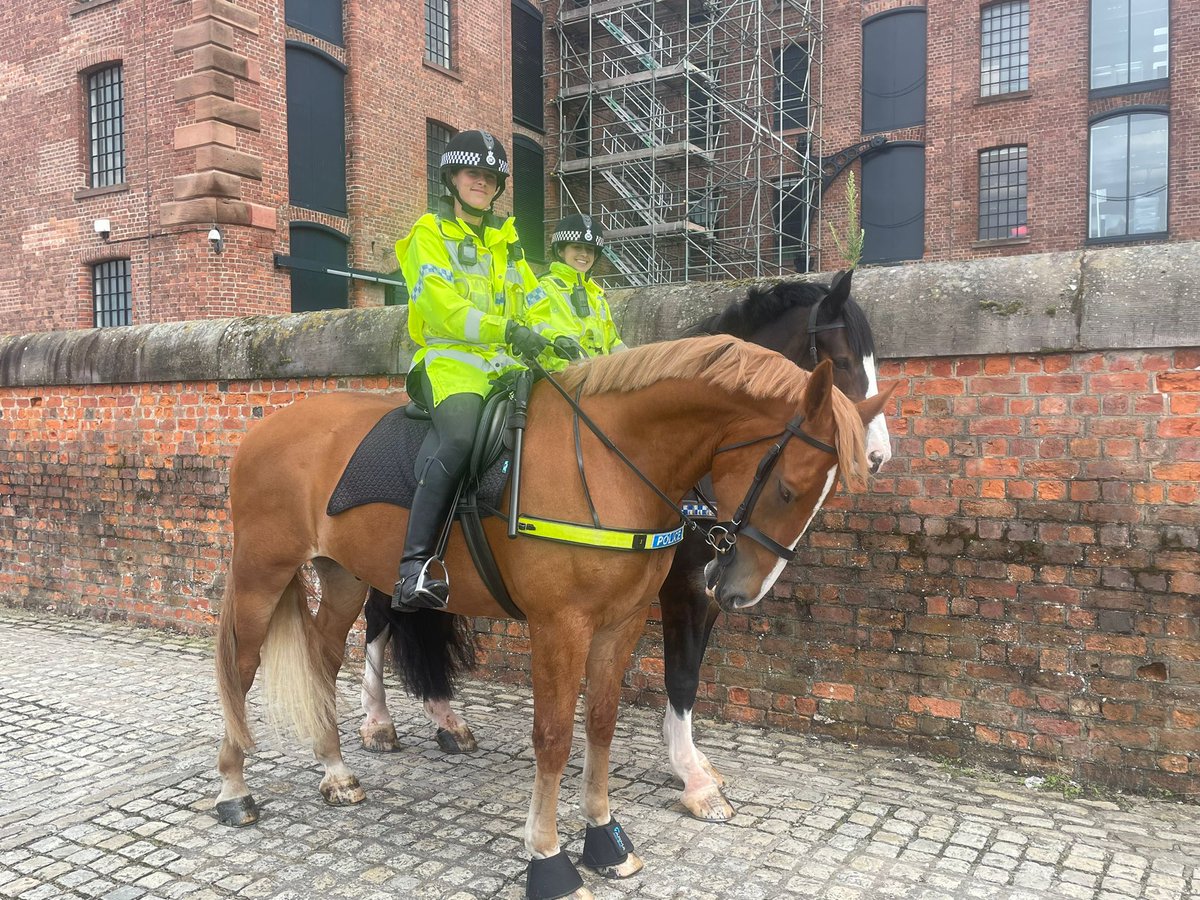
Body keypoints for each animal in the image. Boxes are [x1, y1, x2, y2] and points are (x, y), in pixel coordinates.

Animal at [216, 338, 892, 900]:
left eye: (821, 493)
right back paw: (234, 790)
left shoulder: (622, 623)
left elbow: (600, 724)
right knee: (241, 671)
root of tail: (266, 430)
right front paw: (549, 858)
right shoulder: (559, 626)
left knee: (322, 664)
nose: (740, 591)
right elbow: (554, 737)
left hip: (343, 577)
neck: (608, 461)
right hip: (260, 574)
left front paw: (605, 838)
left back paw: (335, 772)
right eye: (788, 487)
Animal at [355, 271, 892, 820]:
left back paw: (443, 719)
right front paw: (694, 777)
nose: (877, 456)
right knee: (380, 617)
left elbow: (688, 672)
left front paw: (689, 759)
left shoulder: (704, 583)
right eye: (844, 361)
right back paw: (378, 720)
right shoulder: (682, 587)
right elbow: (681, 676)